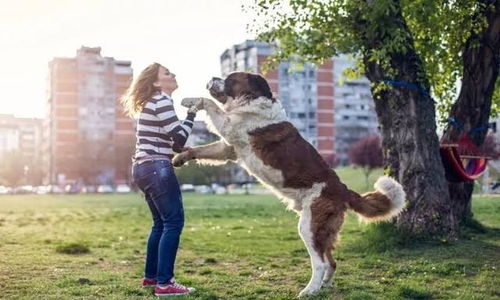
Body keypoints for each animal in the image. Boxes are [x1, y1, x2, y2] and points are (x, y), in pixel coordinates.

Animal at [173, 71, 406, 296]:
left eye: (230, 78)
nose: (213, 78)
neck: (251, 100)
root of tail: (342, 189)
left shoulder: (230, 127)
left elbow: (209, 103)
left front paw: (189, 100)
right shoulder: (228, 148)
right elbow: (203, 149)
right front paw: (180, 157)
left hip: (309, 226)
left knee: (320, 262)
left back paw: (309, 290)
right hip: (323, 231)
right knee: (331, 261)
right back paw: (324, 286)